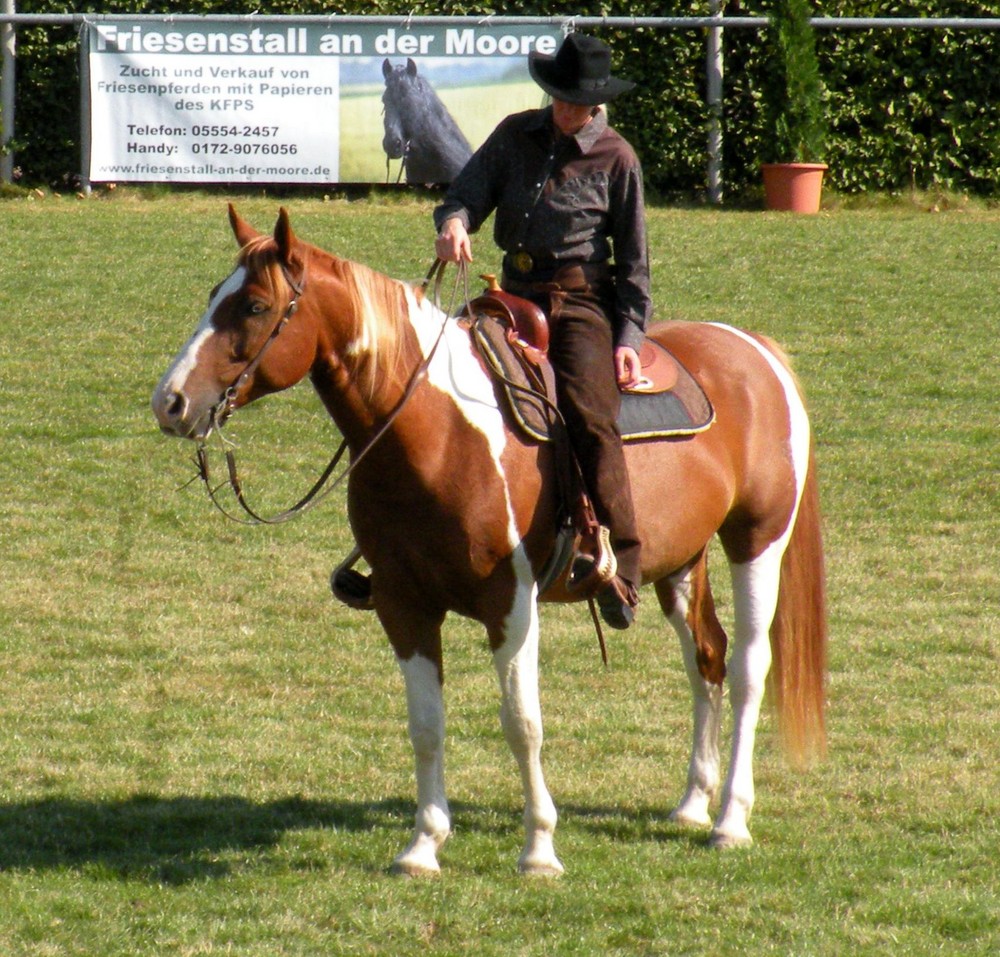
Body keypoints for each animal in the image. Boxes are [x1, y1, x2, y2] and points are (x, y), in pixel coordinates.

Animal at [152, 207, 828, 872]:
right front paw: (423, 845)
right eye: (214, 295)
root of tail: (755, 350)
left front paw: (539, 849)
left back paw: (730, 820)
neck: (436, 431)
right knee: (704, 657)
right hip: (684, 561)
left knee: (748, 666)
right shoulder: (403, 604)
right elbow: (426, 725)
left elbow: (522, 722)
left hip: (757, 541)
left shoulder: (512, 603)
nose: (171, 402)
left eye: (255, 306)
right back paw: (692, 803)